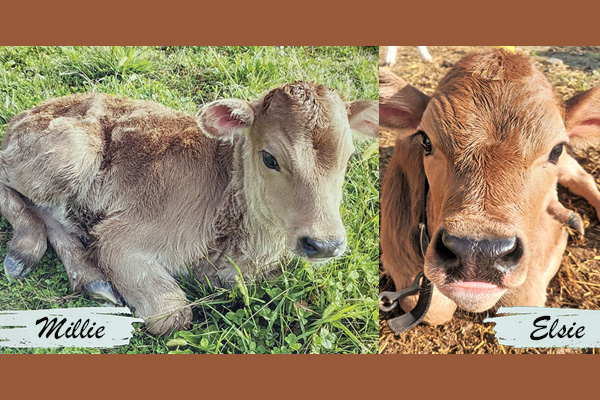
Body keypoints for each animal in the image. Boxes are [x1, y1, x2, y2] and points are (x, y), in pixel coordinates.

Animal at [0, 83, 378, 336]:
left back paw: (92, 279)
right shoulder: (120, 240)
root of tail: (22, 115)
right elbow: (173, 316)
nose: (325, 244)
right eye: (270, 158)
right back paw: (26, 252)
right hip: (71, 153)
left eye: (347, 158)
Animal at [380, 49, 600, 324]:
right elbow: (433, 308)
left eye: (557, 149)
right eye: (426, 141)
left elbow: (524, 296)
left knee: (581, 178)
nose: (478, 253)